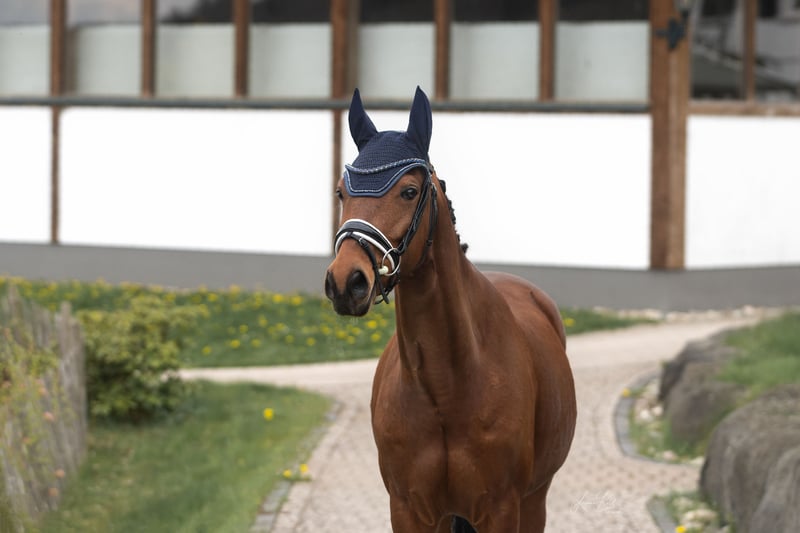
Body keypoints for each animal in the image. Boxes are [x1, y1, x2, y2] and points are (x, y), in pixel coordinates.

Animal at [324, 87, 576, 532]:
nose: (346, 282)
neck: (446, 386)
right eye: (341, 192)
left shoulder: (502, 509)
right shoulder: (410, 509)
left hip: (535, 500)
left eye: (409, 191)